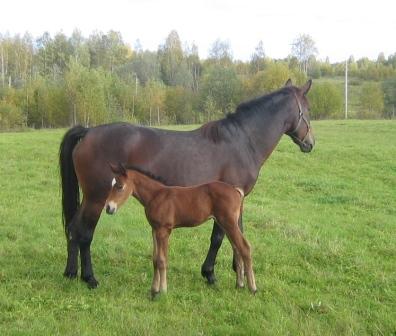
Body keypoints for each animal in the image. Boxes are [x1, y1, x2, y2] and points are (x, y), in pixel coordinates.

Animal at [104, 163, 256, 296]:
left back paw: (252, 288)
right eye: (112, 185)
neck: (156, 196)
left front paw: (162, 291)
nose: (108, 208)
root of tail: (236, 190)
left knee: (245, 247)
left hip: (228, 223)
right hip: (225, 223)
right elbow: (155, 259)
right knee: (236, 248)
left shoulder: (164, 230)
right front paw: (154, 290)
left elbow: (162, 260)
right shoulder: (154, 229)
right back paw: (239, 284)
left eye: (120, 186)